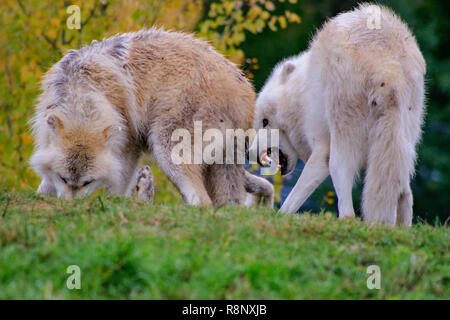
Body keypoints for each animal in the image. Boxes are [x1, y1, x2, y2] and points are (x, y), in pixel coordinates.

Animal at [30, 28, 274, 206]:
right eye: (63, 179)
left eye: (87, 182)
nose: (71, 205)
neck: (85, 90)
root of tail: (245, 92)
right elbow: (44, 185)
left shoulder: (128, 143)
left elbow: (116, 186)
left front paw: (113, 202)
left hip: (166, 149)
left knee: (202, 204)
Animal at [250, 3, 426, 226]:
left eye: (265, 122)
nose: (249, 153)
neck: (300, 98)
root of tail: (387, 66)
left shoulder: (321, 150)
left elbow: (291, 201)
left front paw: (279, 218)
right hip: (404, 142)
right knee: (405, 193)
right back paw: (399, 228)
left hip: (342, 142)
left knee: (347, 201)